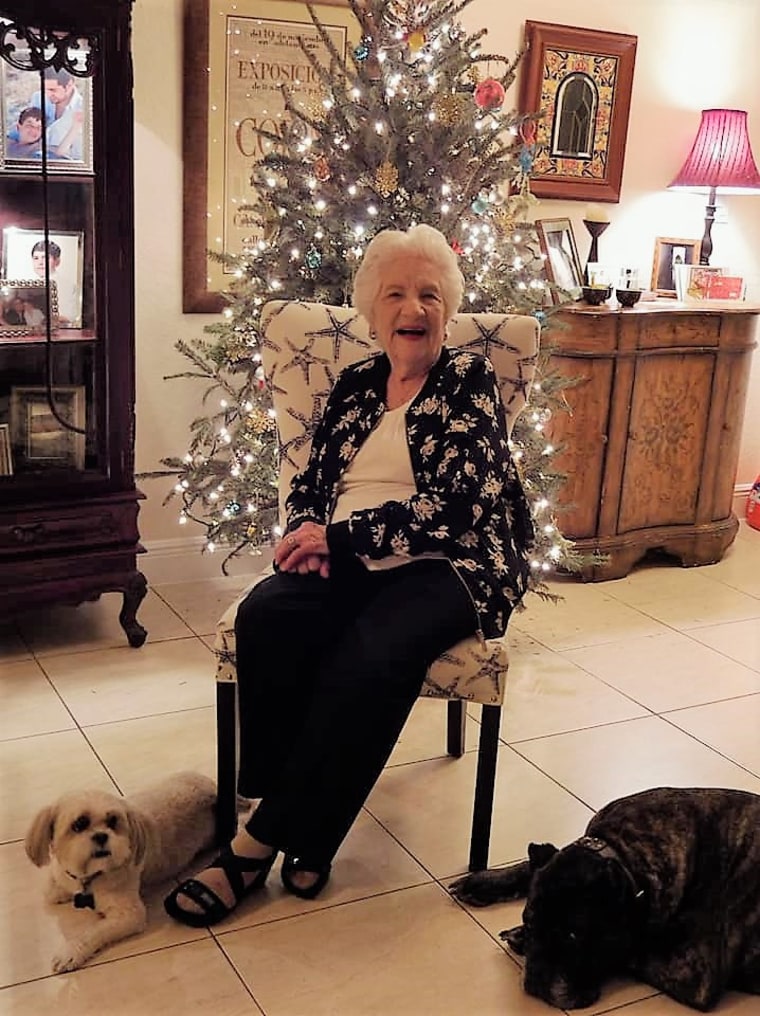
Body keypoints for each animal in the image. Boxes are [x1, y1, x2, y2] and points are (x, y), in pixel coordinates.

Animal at [25, 772, 215, 971]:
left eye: (113, 821)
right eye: (79, 824)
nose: (101, 836)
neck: (90, 876)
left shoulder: (129, 915)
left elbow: (95, 931)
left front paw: (71, 952)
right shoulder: (60, 877)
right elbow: (52, 891)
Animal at [449, 784, 760, 1007]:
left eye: (574, 936)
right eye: (530, 920)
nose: (537, 975)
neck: (623, 851)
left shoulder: (693, 972)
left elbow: (632, 946)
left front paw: (518, 938)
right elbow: (530, 866)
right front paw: (484, 883)